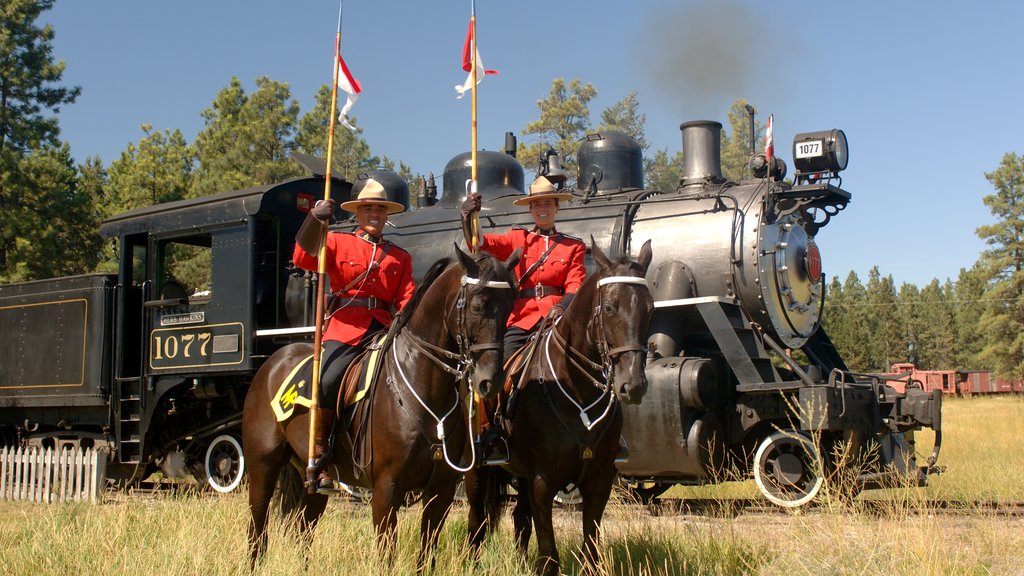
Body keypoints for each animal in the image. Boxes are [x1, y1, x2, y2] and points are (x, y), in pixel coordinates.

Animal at [243, 247, 520, 569]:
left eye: (510, 306)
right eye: (477, 306)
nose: (491, 379)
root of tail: (273, 362)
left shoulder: (441, 491)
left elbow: (427, 553)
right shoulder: (386, 489)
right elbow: (387, 555)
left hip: (313, 482)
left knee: (304, 527)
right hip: (263, 466)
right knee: (257, 526)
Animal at [466, 236, 651, 569]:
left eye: (651, 309)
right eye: (609, 307)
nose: (633, 384)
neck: (576, 389)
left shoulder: (599, 480)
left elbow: (590, 548)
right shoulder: (543, 481)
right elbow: (548, 553)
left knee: (519, 518)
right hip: (477, 469)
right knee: (477, 523)